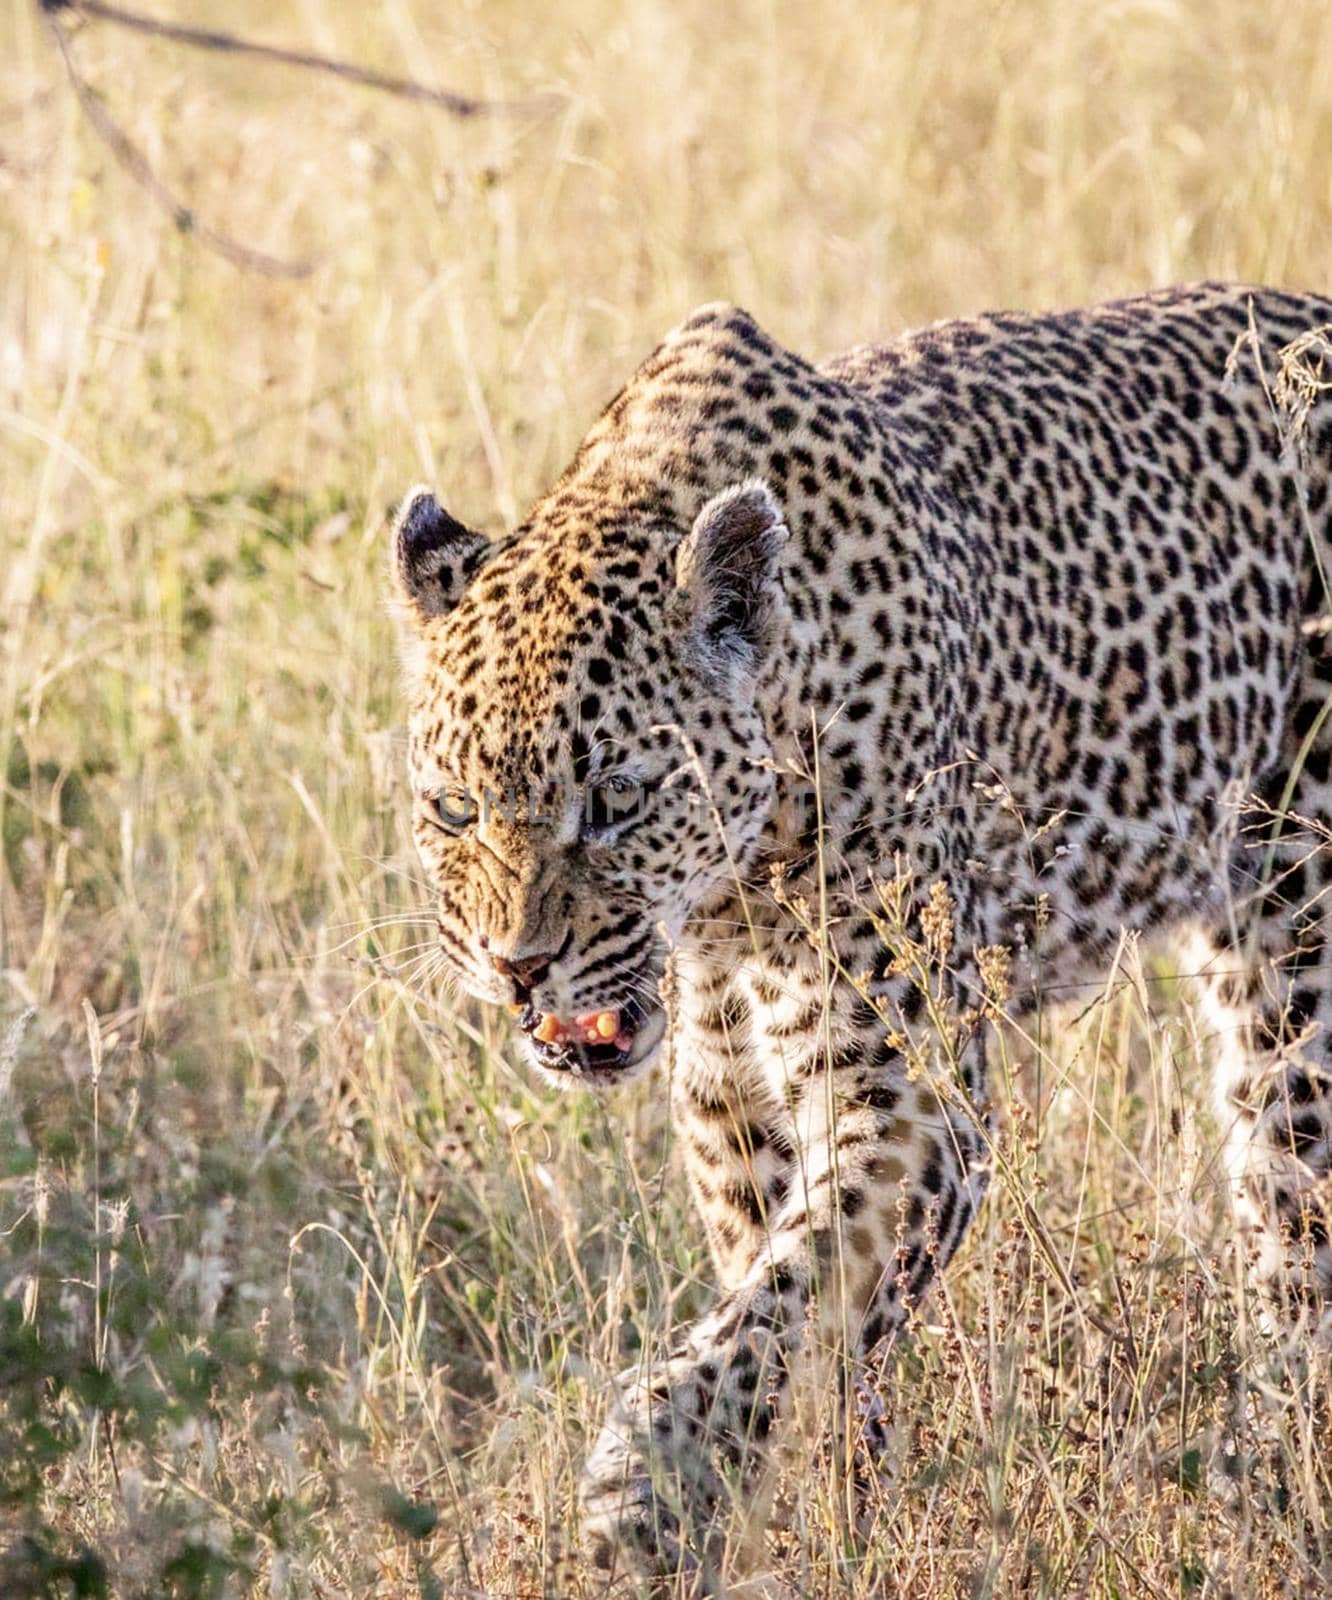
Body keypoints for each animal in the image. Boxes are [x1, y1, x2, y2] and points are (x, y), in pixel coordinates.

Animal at [384, 284, 1332, 1587]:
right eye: (452, 810)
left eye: (616, 799)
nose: (515, 967)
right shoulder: (726, 1107)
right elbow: (785, 1303)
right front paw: (827, 1509)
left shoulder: (913, 1093)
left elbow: (796, 1295)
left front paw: (653, 1497)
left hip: (1300, 932)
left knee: (1293, 1209)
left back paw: (1274, 1472)